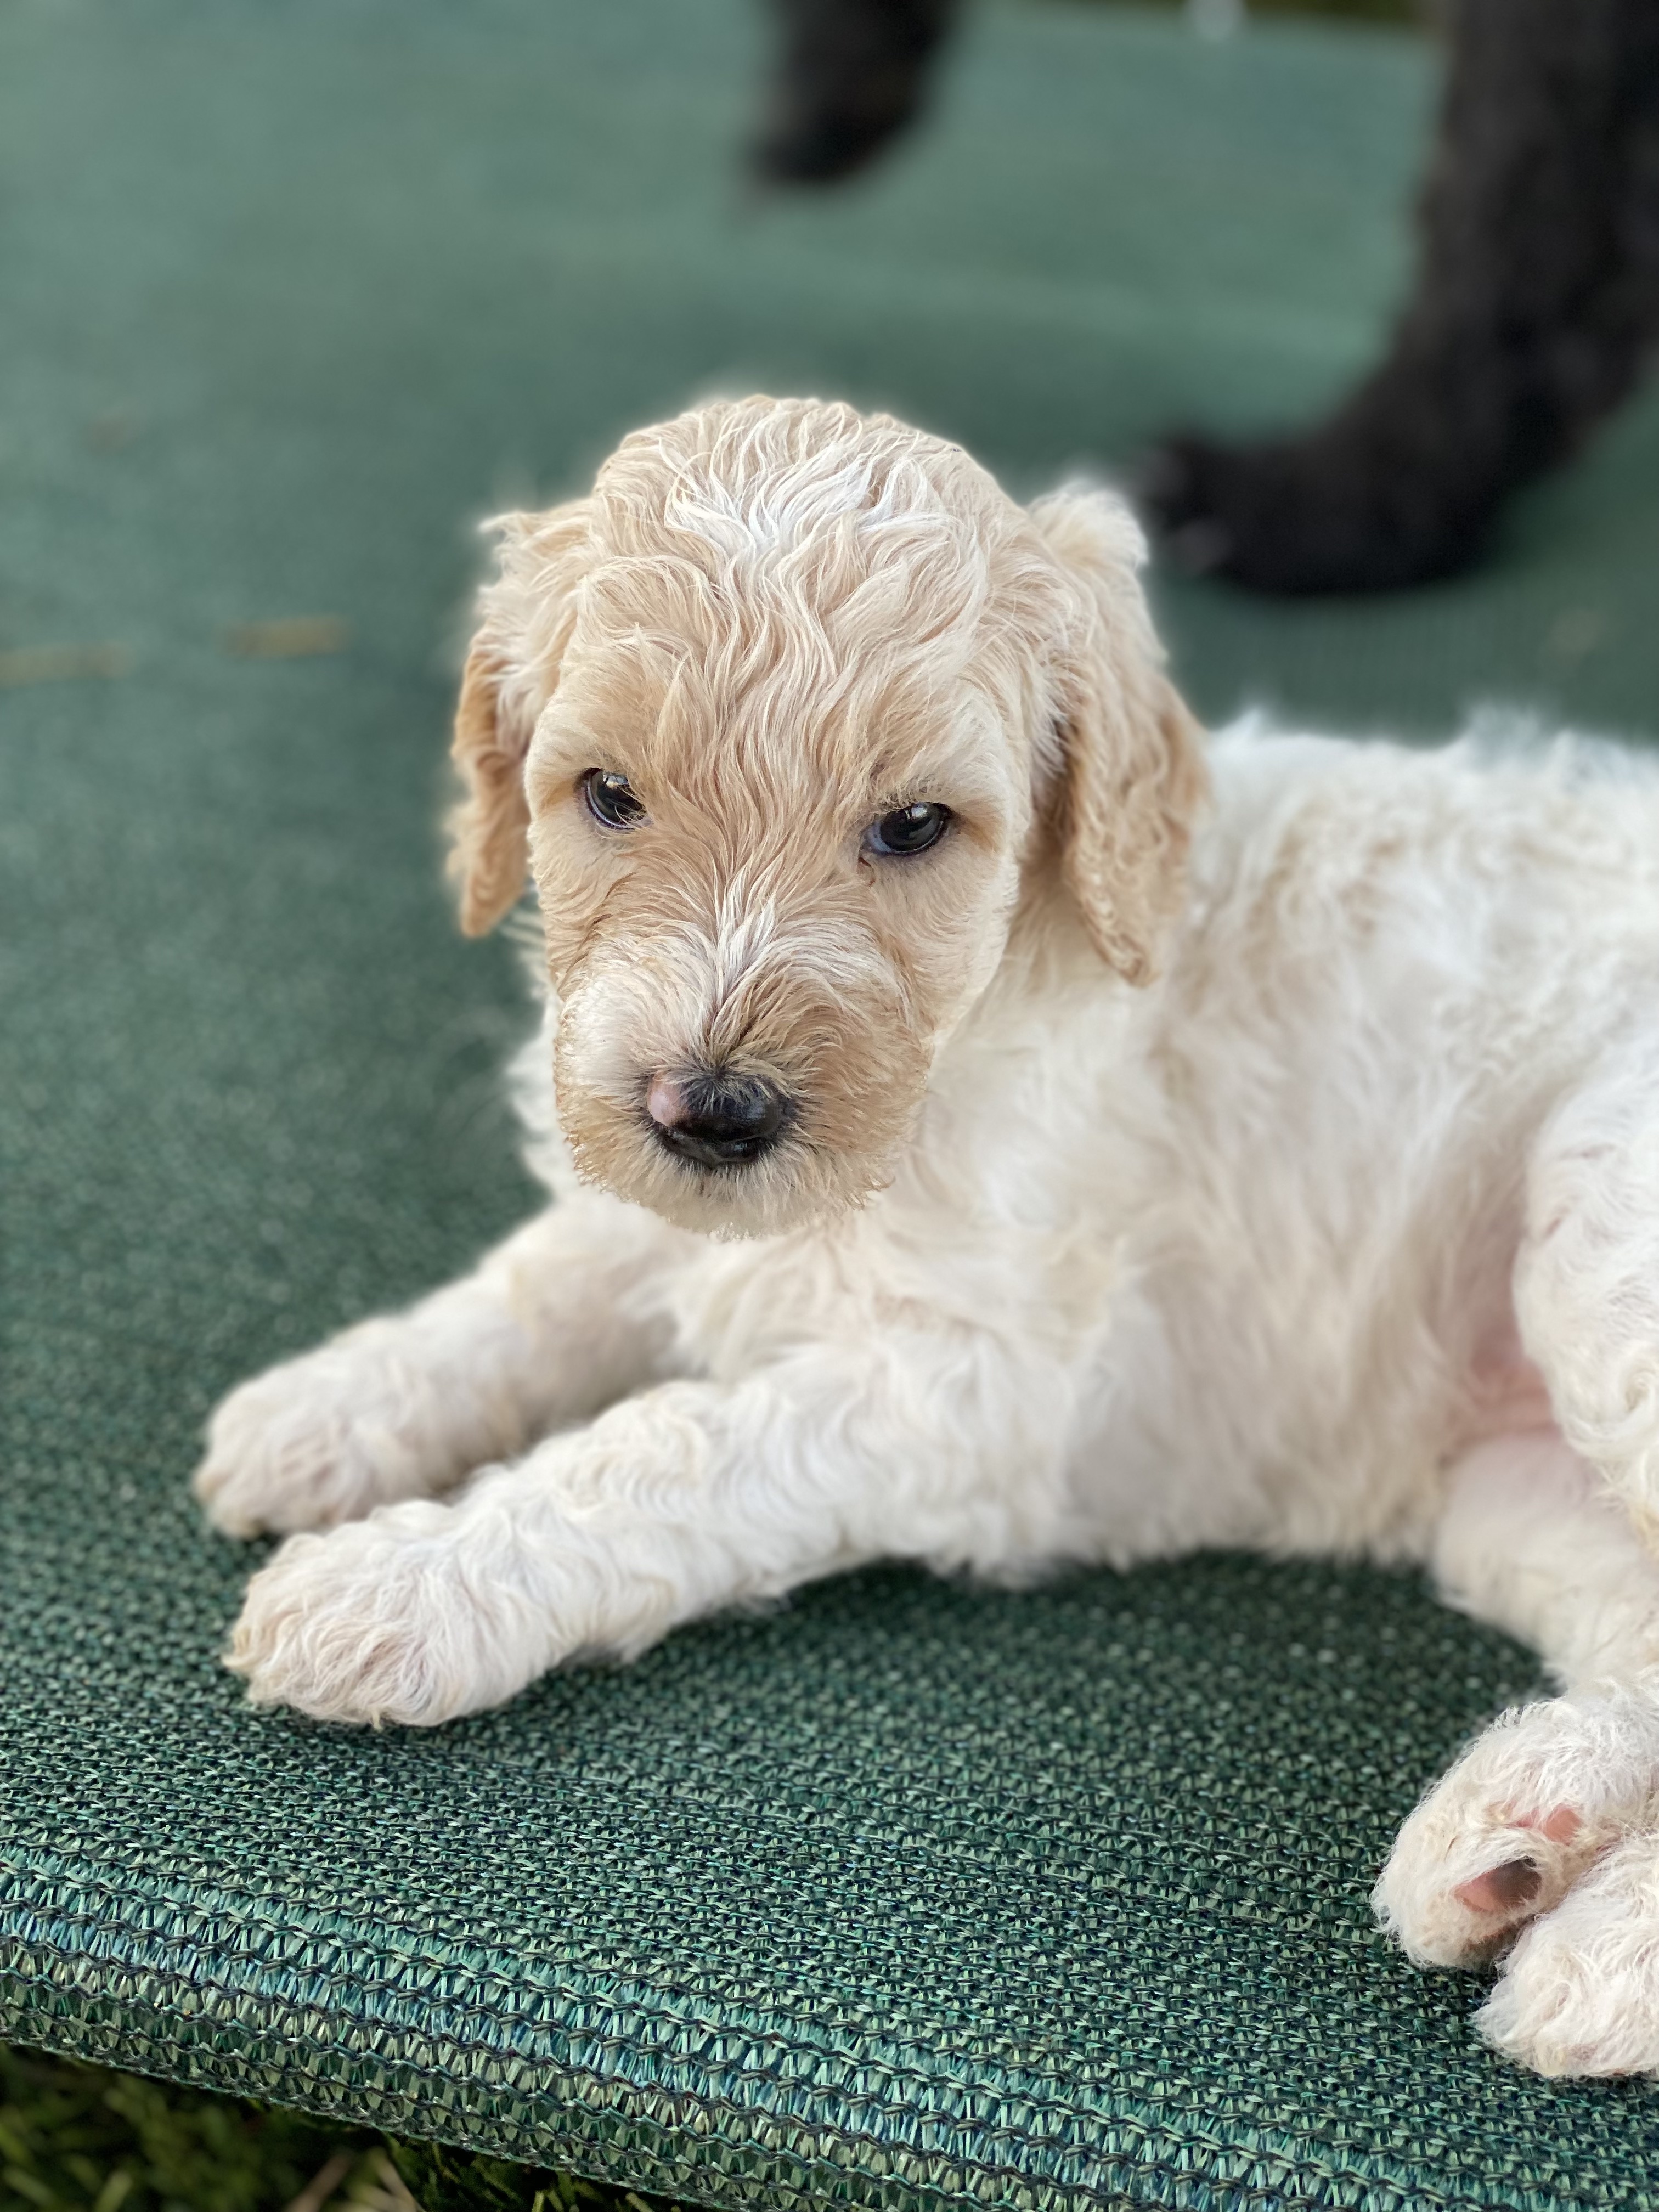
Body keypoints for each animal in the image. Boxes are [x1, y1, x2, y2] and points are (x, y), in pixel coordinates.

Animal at [199, 395, 1659, 2078]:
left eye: (912, 828)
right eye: (609, 796)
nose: (712, 1112)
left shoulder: (973, 1394)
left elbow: (654, 1450)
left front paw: (399, 1587)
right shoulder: (674, 1221)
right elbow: (528, 1294)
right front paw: (329, 1411)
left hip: (1600, 1232)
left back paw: (1608, 1956)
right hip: (1508, 1476)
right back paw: (1518, 1838)